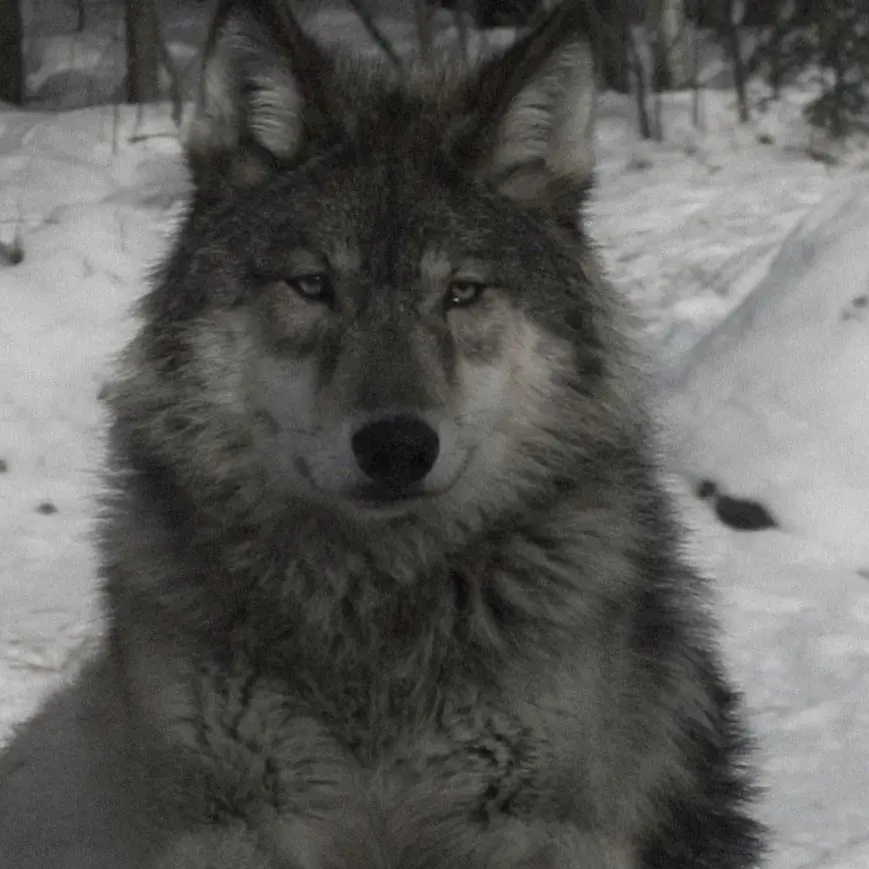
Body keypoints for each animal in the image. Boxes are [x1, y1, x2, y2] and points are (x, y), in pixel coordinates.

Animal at [0, 1, 765, 867]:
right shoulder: (232, 823)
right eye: (312, 286)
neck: (373, 611)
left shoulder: (532, 825)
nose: (397, 446)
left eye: (461, 292)